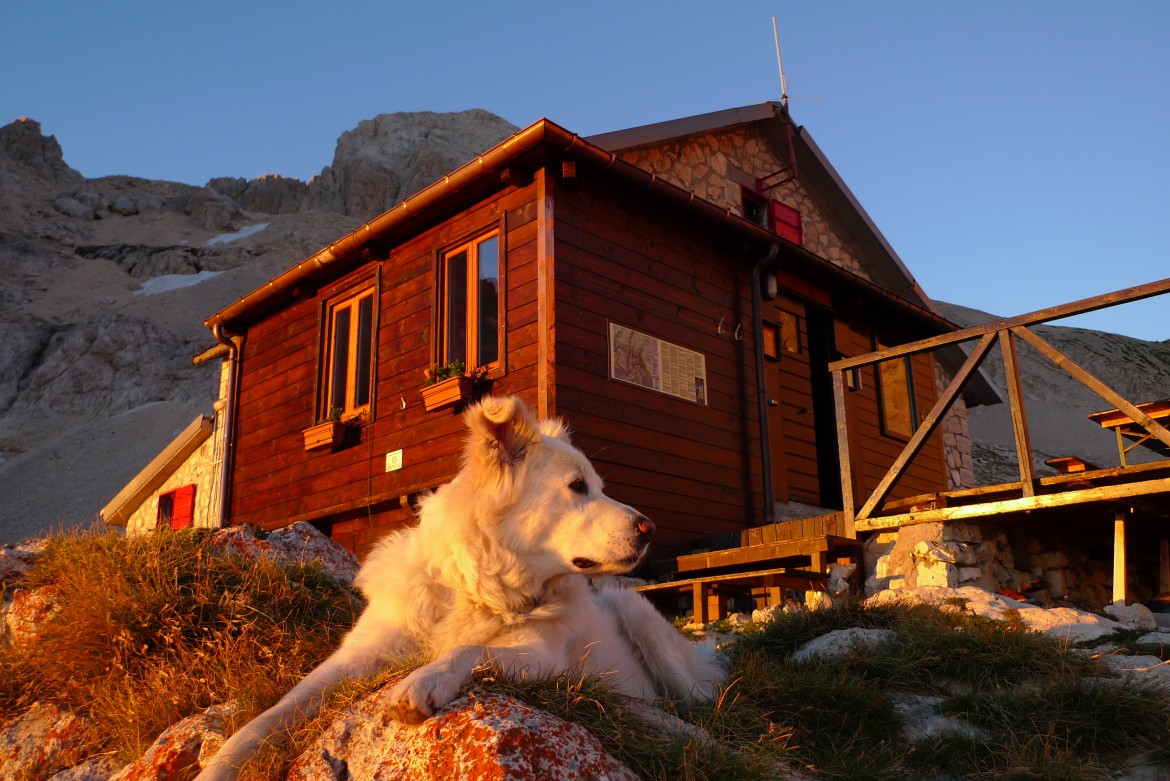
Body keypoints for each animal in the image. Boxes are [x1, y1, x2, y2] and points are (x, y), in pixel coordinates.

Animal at [197, 397, 725, 781]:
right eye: (578, 487)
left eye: (596, 485)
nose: (649, 528)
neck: (478, 585)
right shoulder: (355, 657)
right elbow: (272, 714)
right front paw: (220, 765)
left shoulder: (542, 655)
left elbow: (469, 649)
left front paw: (422, 682)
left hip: (637, 616)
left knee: (696, 704)